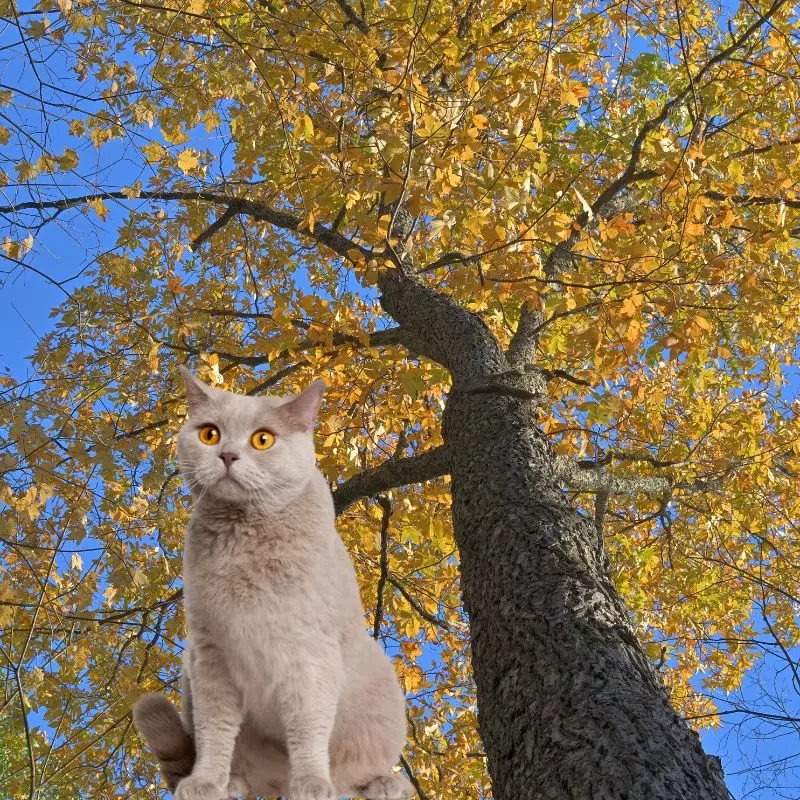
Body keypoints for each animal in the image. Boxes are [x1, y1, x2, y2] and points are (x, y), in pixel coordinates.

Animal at [132, 370, 416, 800]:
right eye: (210, 434)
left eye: (262, 439)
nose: (227, 455)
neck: (244, 539)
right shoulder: (210, 655)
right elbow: (215, 731)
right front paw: (207, 782)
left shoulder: (309, 656)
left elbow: (308, 727)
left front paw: (313, 783)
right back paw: (234, 782)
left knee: (351, 772)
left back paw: (383, 783)